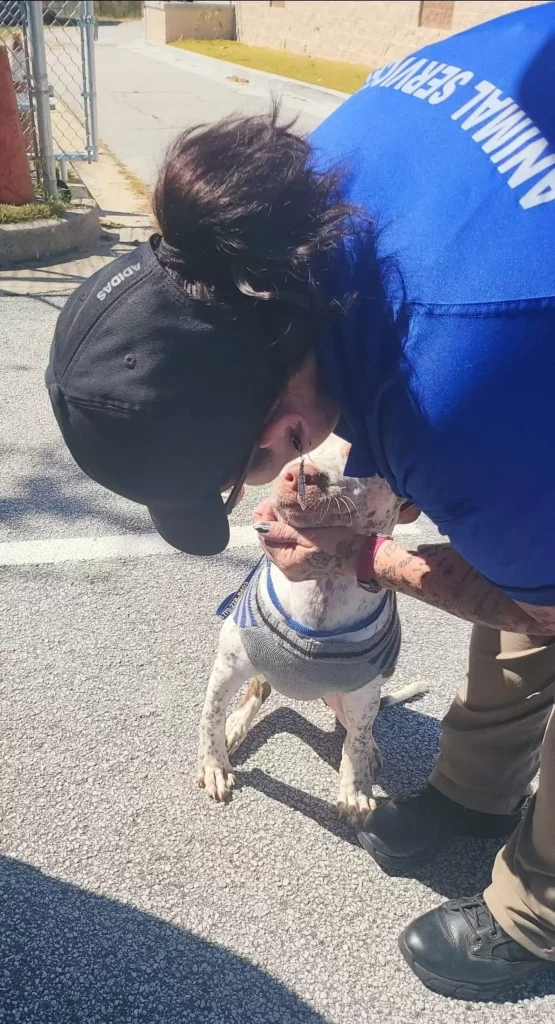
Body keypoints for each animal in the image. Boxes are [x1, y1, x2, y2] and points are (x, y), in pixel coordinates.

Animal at [197, 432, 423, 823]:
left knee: (356, 728)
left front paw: (356, 790)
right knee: (259, 688)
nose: (301, 475)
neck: (321, 590)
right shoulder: (227, 665)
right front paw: (214, 765)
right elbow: (211, 716)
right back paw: (236, 725)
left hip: (345, 695)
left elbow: (356, 741)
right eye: (296, 442)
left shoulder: (364, 693)